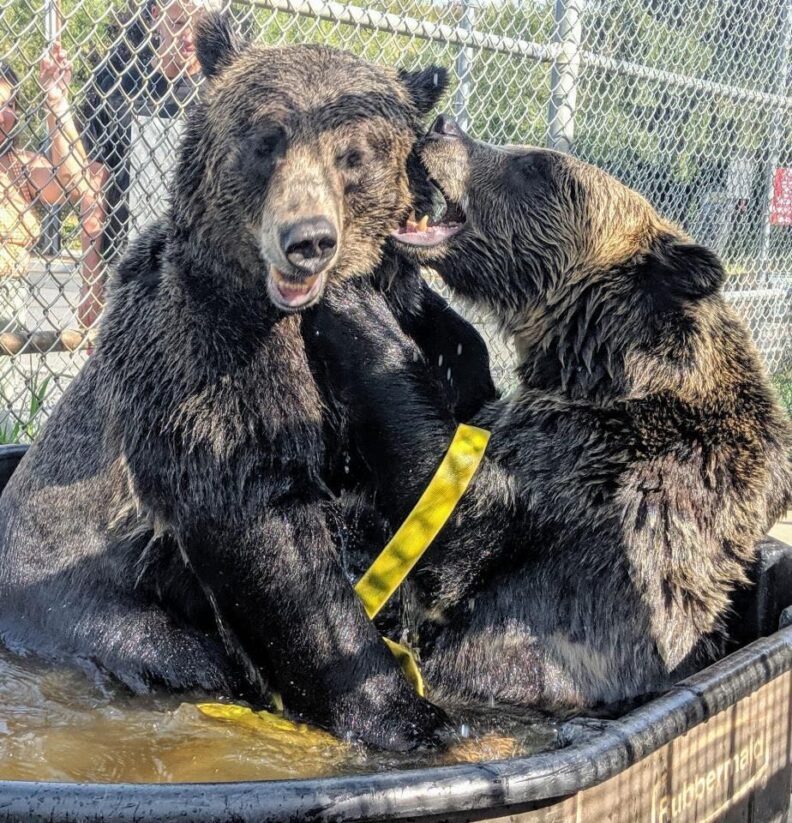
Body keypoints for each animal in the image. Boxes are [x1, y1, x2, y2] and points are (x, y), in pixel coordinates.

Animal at [0, 17, 500, 750]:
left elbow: (455, 503)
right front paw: (404, 715)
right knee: (167, 645)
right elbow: (261, 520)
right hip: (78, 601)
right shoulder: (198, 355)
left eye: (353, 154)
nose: (308, 240)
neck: (284, 319)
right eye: (267, 140)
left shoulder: (433, 340)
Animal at [308, 113, 792, 713]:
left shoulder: (601, 477)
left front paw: (350, 284)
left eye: (537, 166)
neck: (597, 364)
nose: (444, 125)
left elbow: (457, 528)